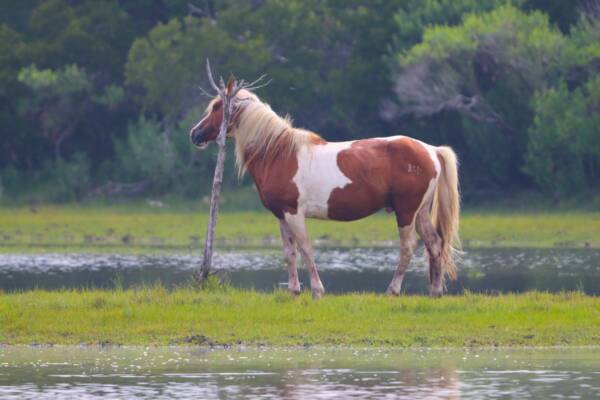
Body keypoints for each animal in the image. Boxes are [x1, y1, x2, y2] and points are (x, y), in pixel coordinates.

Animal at [190, 89, 462, 298]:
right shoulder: (281, 215)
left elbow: (306, 249)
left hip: (405, 213)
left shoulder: (293, 213)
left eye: (218, 107)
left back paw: (392, 291)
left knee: (407, 248)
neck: (279, 154)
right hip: (420, 213)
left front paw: (317, 290)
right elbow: (289, 253)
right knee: (434, 244)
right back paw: (435, 291)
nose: (194, 134)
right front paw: (294, 291)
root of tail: (431, 149)